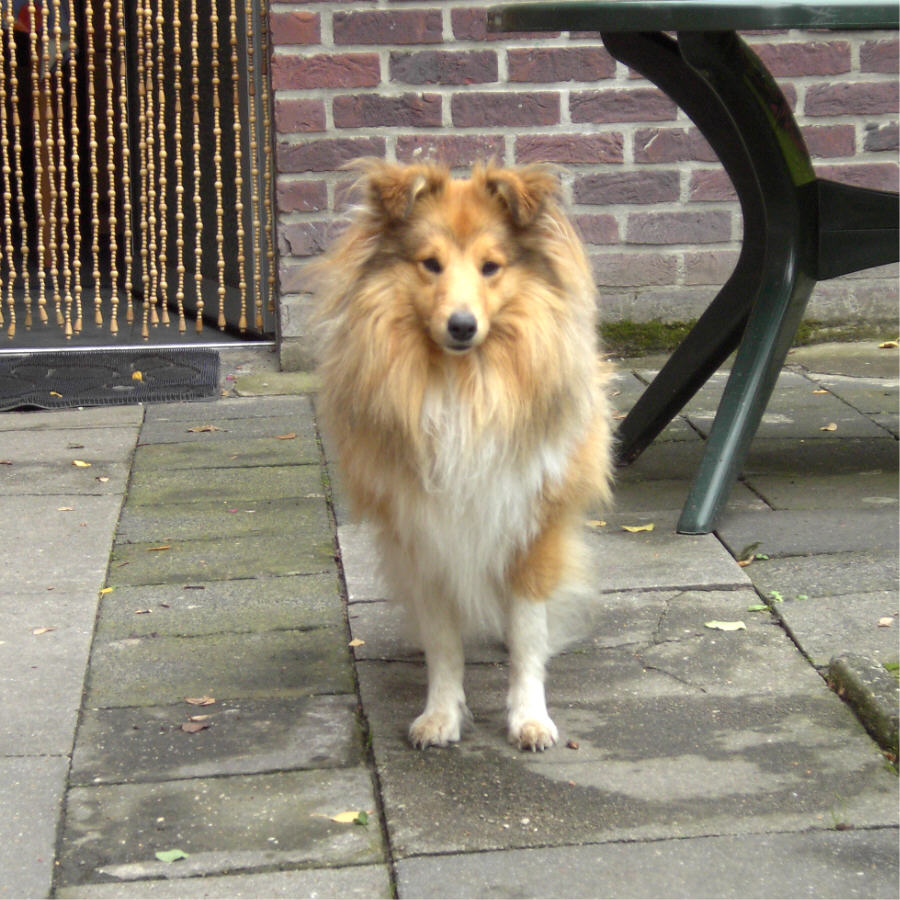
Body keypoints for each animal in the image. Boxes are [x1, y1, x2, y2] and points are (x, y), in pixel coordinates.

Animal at [312, 160, 613, 751]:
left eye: (491, 267)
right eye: (430, 264)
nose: (461, 326)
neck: (463, 384)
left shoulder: (530, 525)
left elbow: (527, 633)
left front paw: (530, 720)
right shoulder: (424, 536)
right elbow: (443, 642)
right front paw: (441, 716)